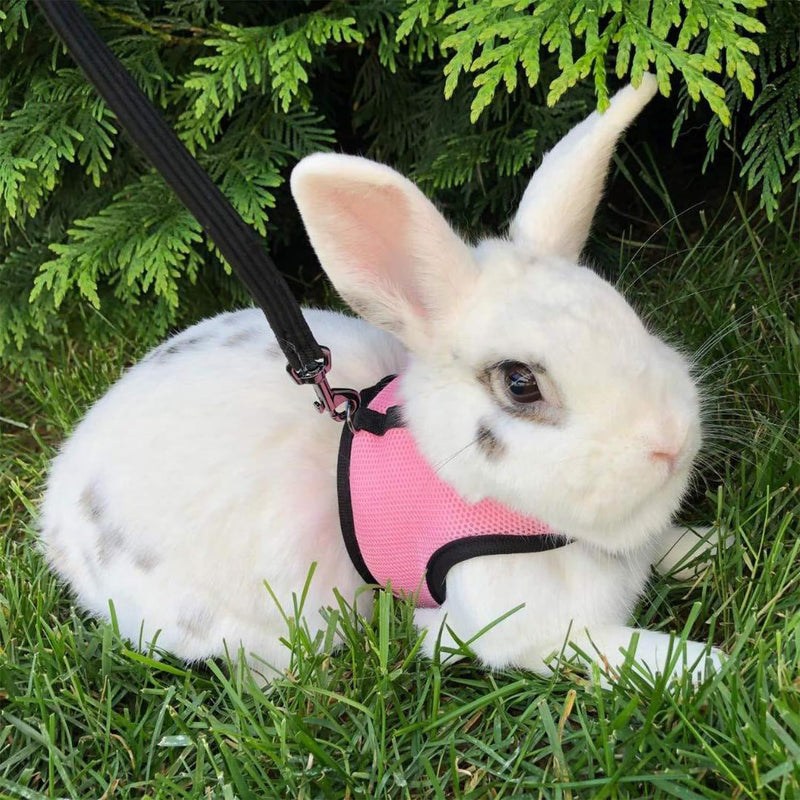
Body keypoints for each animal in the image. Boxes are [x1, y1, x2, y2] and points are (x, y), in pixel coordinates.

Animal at [38, 74, 725, 685]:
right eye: (520, 383)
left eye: (629, 317)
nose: (671, 441)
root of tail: (58, 520)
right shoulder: (533, 631)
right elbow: (622, 653)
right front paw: (711, 668)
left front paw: (710, 547)